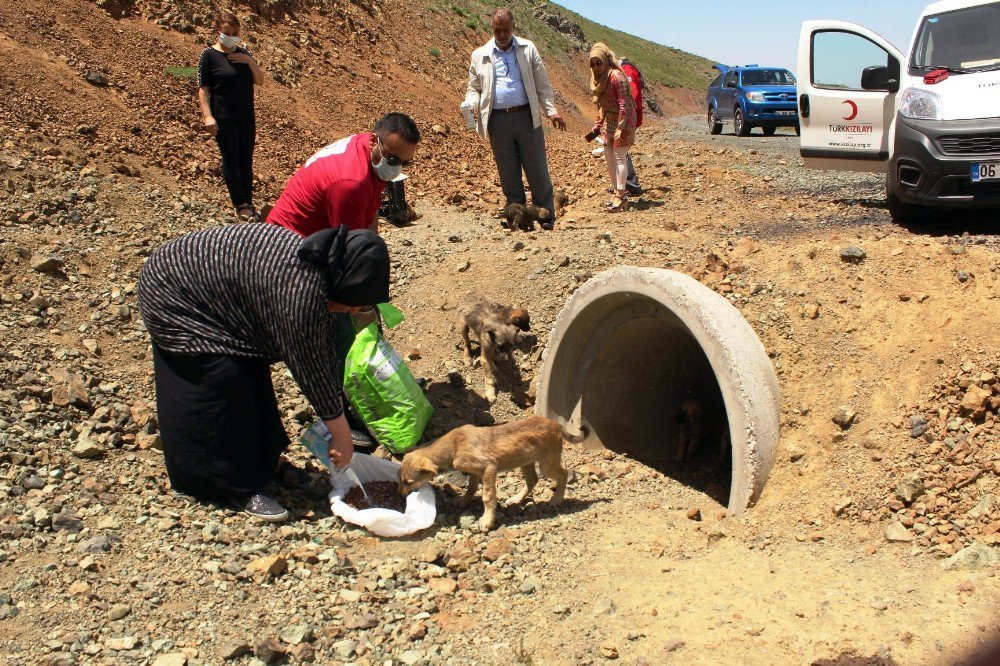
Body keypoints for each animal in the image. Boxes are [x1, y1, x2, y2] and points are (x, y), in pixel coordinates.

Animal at [398, 416, 584, 528]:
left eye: (408, 482)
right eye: (400, 480)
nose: (400, 495)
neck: (453, 447)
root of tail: (557, 425)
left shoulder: (489, 469)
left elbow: (487, 497)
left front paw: (487, 520)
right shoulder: (474, 471)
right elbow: (472, 487)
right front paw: (464, 501)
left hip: (547, 464)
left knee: (564, 474)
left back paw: (556, 499)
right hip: (525, 461)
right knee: (532, 480)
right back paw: (516, 499)